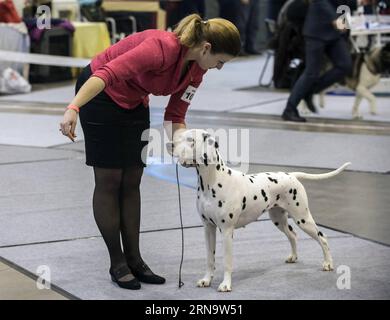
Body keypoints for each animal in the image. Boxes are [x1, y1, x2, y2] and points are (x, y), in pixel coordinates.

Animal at [174, 129, 350, 292]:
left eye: (190, 140)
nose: (171, 145)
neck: (212, 181)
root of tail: (291, 175)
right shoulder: (208, 228)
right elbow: (210, 259)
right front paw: (206, 280)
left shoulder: (226, 231)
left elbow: (227, 262)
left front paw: (225, 285)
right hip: (279, 219)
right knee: (293, 235)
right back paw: (293, 257)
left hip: (303, 218)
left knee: (323, 237)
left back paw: (328, 263)